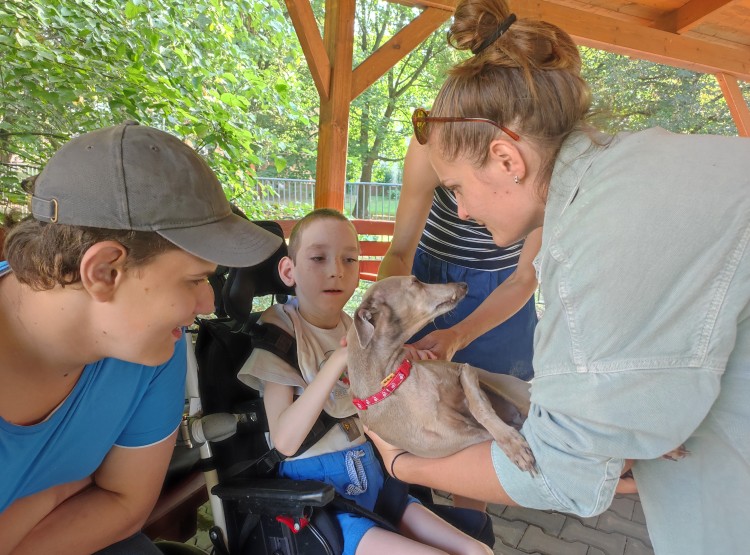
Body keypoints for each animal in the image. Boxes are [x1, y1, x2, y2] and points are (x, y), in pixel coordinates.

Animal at [350, 276, 536, 474]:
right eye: (415, 281)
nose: (463, 285)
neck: (394, 382)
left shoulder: (464, 370)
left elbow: (479, 407)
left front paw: (514, 445)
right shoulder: (464, 438)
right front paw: (513, 444)